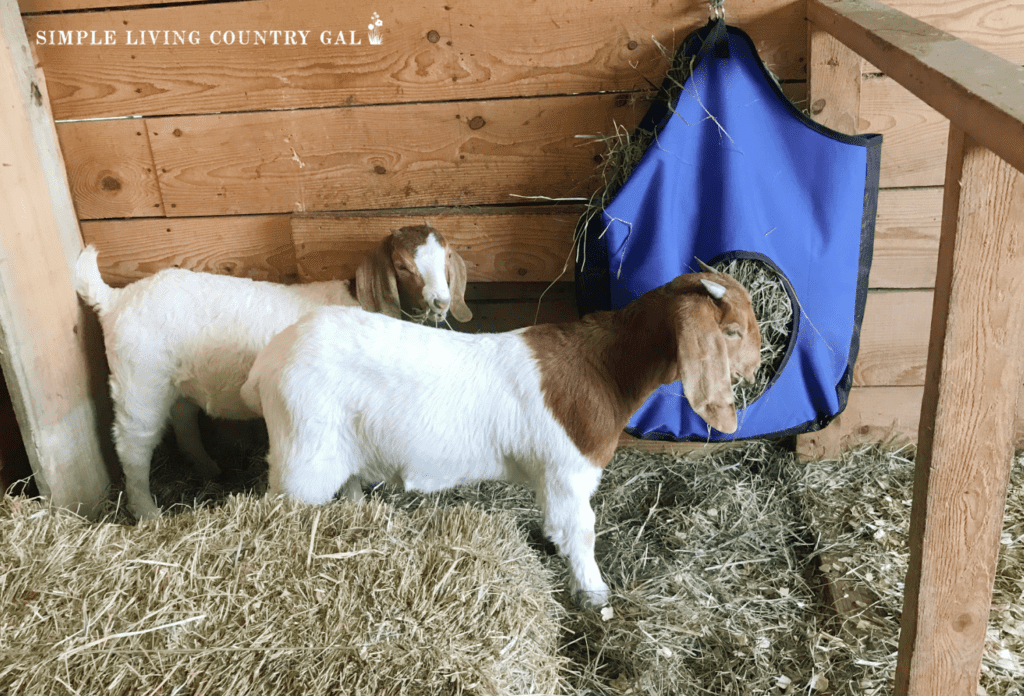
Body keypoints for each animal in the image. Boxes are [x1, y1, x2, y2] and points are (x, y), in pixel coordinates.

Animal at [75, 225, 471, 519]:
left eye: (446, 258)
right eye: (402, 266)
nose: (441, 302)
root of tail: (115, 299)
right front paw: (355, 503)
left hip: (176, 380)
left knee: (184, 419)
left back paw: (209, 468)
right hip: (139, 380)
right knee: (133, 444)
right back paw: (147, 513)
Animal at [241, 270, 761, 601]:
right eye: (732, 331)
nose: (757, 368)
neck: (603, 368)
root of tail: (266, 363)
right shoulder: (568, 474)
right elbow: (580, 533)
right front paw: (595, 594)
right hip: (301, 458)